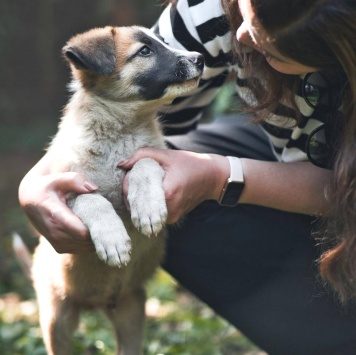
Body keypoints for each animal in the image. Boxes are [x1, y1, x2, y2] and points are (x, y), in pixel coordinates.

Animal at [32, 25, 204, 355]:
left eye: (164, 41)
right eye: (145, 51)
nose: (199, 58)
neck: (119, 134)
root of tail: (96, 303)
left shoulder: (160, 169)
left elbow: (145, 162)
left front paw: (147, 208)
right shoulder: (64, 190)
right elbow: (91, 199)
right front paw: (113, 240)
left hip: (132, 315)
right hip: (56, 319)